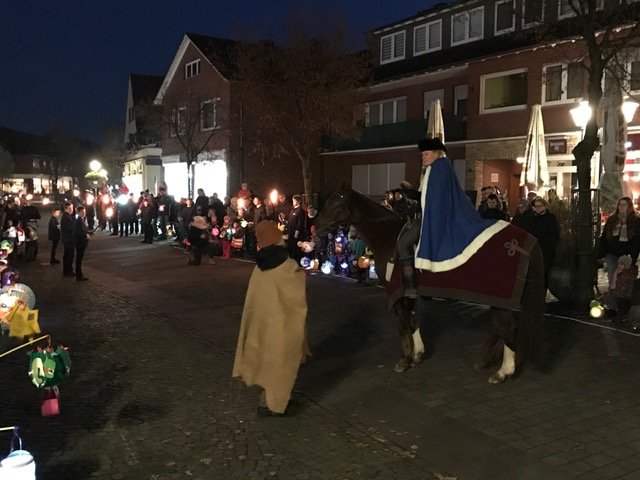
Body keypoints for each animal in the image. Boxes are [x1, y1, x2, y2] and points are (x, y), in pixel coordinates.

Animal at [312, 186, 544, 384]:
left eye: (334, 203)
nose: (315, 227)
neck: (388, 235)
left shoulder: (396, 292)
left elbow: (403, 323)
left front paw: (404, 359)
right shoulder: (410, 292)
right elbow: (414, 320)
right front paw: (417, 354)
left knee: (507, 327)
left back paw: (504, 371)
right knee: (499, 326)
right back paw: (486, 360)